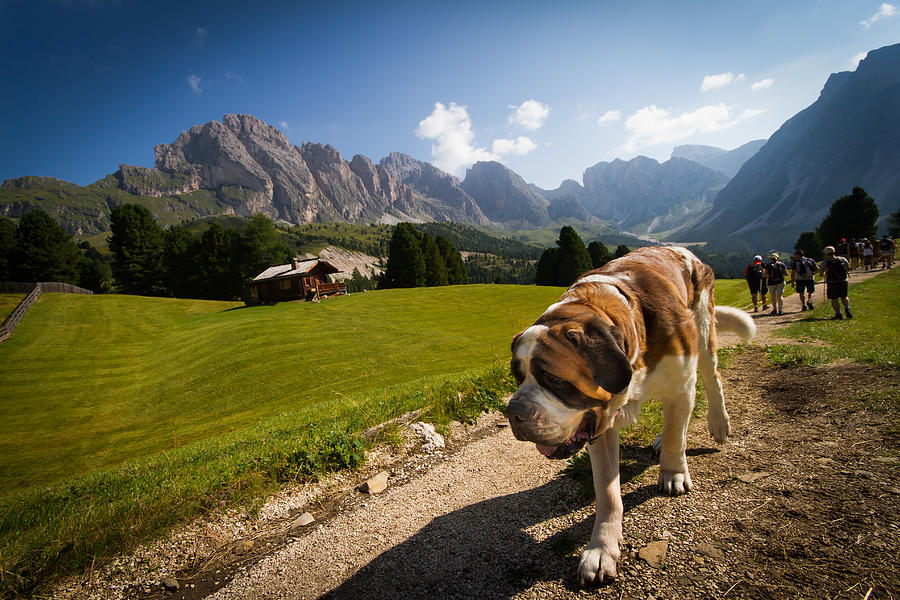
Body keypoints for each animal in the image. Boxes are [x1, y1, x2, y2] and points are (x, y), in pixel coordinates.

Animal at [506, 246, 752, 584]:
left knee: (709, 379)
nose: (512, 412)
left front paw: (673, 473)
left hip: (703, 331)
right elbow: (608, 491)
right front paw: (602, 549)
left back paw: (718, 422)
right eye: (518, 377)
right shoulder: (600, 422)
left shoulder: (682, 381)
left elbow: (677, 436)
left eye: (553, 379)